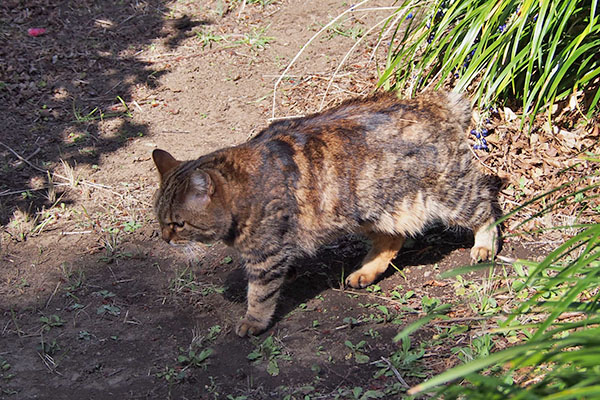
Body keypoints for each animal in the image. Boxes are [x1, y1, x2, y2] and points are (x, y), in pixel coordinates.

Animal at [152, 91, 500, 338]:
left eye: (178, 224)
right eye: (160, 220)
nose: (165, 238)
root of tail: (438, 104)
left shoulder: (266, 256)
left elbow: (260, 295)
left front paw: (253, 321)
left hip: (450, 194)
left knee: (485, 208)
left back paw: (484, 246)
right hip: (369, 210)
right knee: (392, 241)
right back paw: (366, 272)